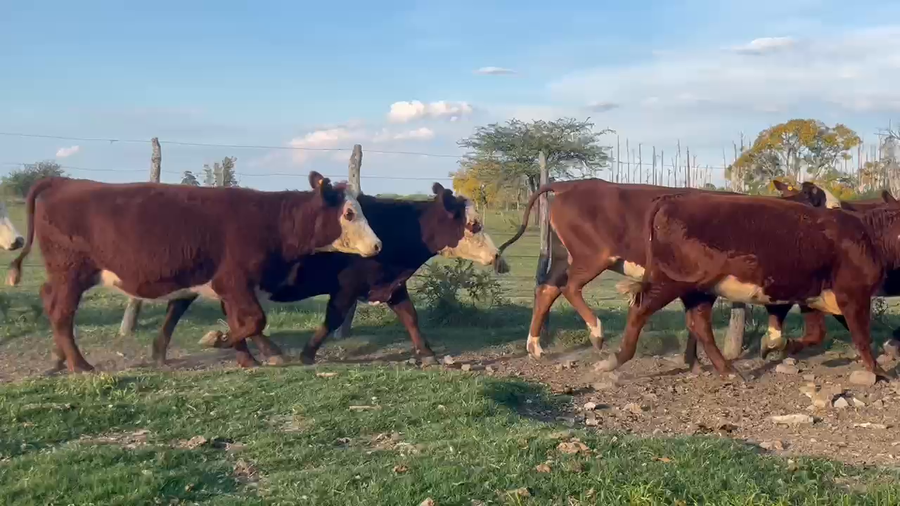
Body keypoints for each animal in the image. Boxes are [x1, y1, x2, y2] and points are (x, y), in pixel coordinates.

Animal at [5, 173, 382, 373]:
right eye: (349, 213)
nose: (378, 245)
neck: (271, 221)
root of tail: (63, 181)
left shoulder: (221, 283)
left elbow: (231, 319)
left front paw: (252, 355)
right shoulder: (234, 280)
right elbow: (252, 320)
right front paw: (225, 343)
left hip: (63, 276)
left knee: (51, 304)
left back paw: (60, 358)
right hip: (71, 273)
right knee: (61, 312)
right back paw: (79, 364)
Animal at [150, 183, 508, 367]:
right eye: (474, 224)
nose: (496, 256)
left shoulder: (392, 285)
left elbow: (410, 317)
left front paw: (428, 353)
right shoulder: (348, 286)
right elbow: (333, 318)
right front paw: (308, 353)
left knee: (187, 308)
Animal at [611, 192, 900, 379]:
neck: (870, 235)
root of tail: (671, 201)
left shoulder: (813, 294)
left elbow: (816, 333)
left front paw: (778, 346)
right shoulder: (854, 294)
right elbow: (862, 335)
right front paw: (879, 371)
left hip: (699, 288)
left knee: (698, 323)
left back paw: (727, 370)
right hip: (673, 279)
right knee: (641, 310)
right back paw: (615, 359)